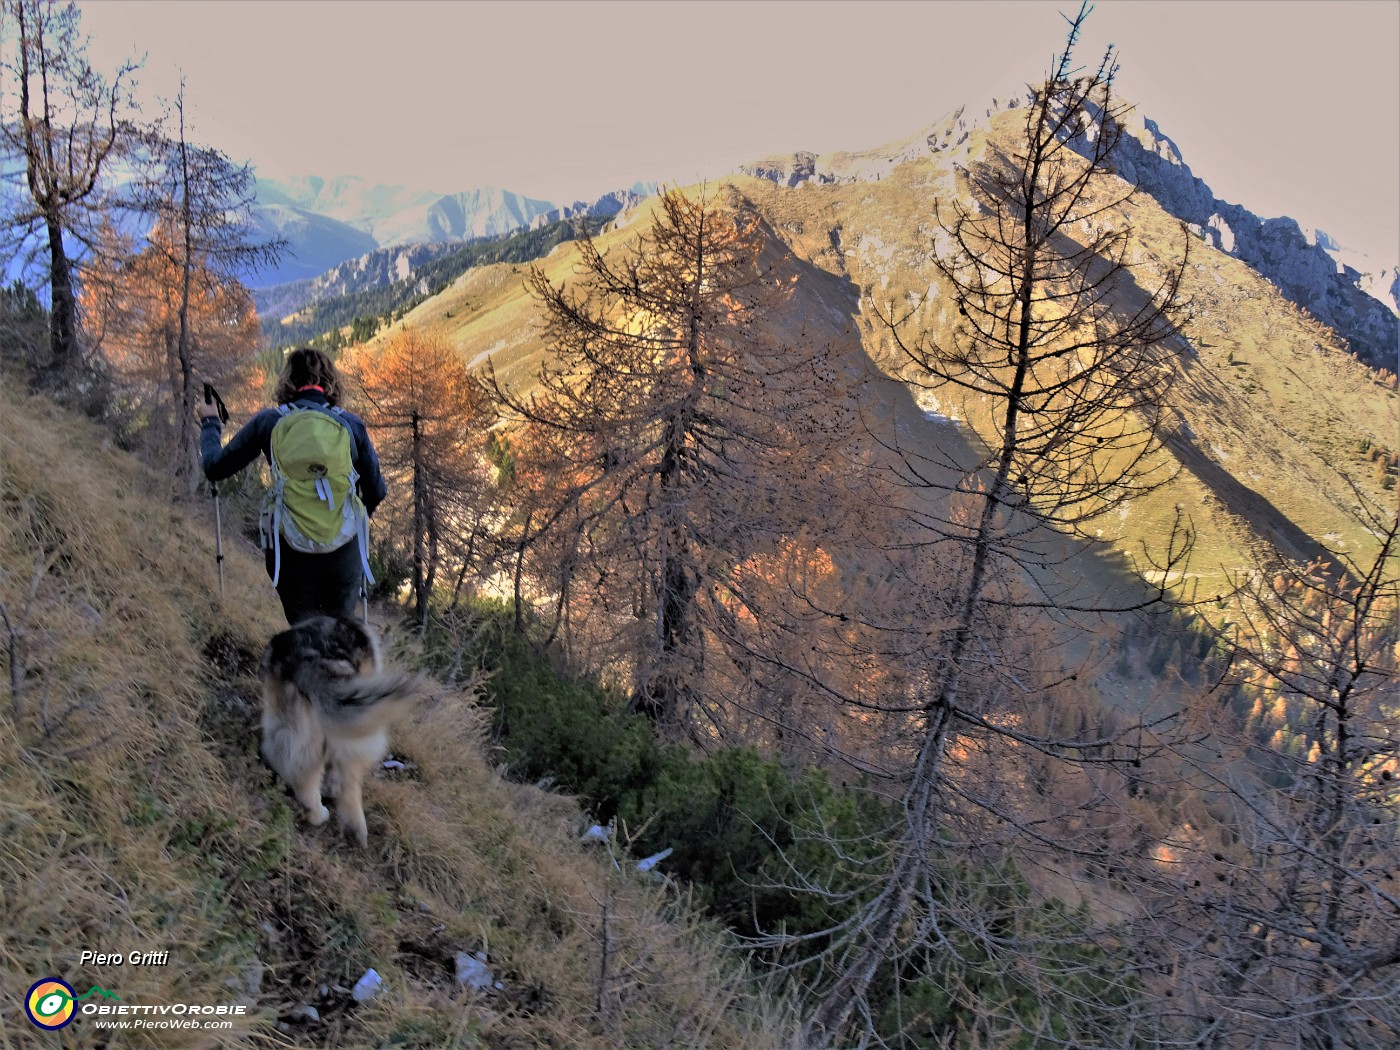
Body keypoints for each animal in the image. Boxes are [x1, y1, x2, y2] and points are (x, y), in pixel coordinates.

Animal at [257, 616, 420, 845]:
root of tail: (309, 656)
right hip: (357, 733)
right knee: (347, 781)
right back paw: (349, 825)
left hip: (287, 715)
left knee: (289, 757)